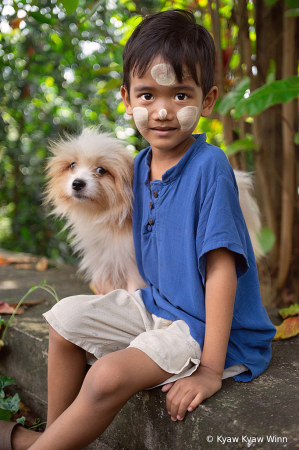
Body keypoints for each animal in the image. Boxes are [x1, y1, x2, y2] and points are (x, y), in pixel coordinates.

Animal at [45, 126, 264, 296]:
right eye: (72, 165)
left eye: (101, 170)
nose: (77, 183)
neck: (108, 218)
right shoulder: (106, 263)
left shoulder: (132, 267)